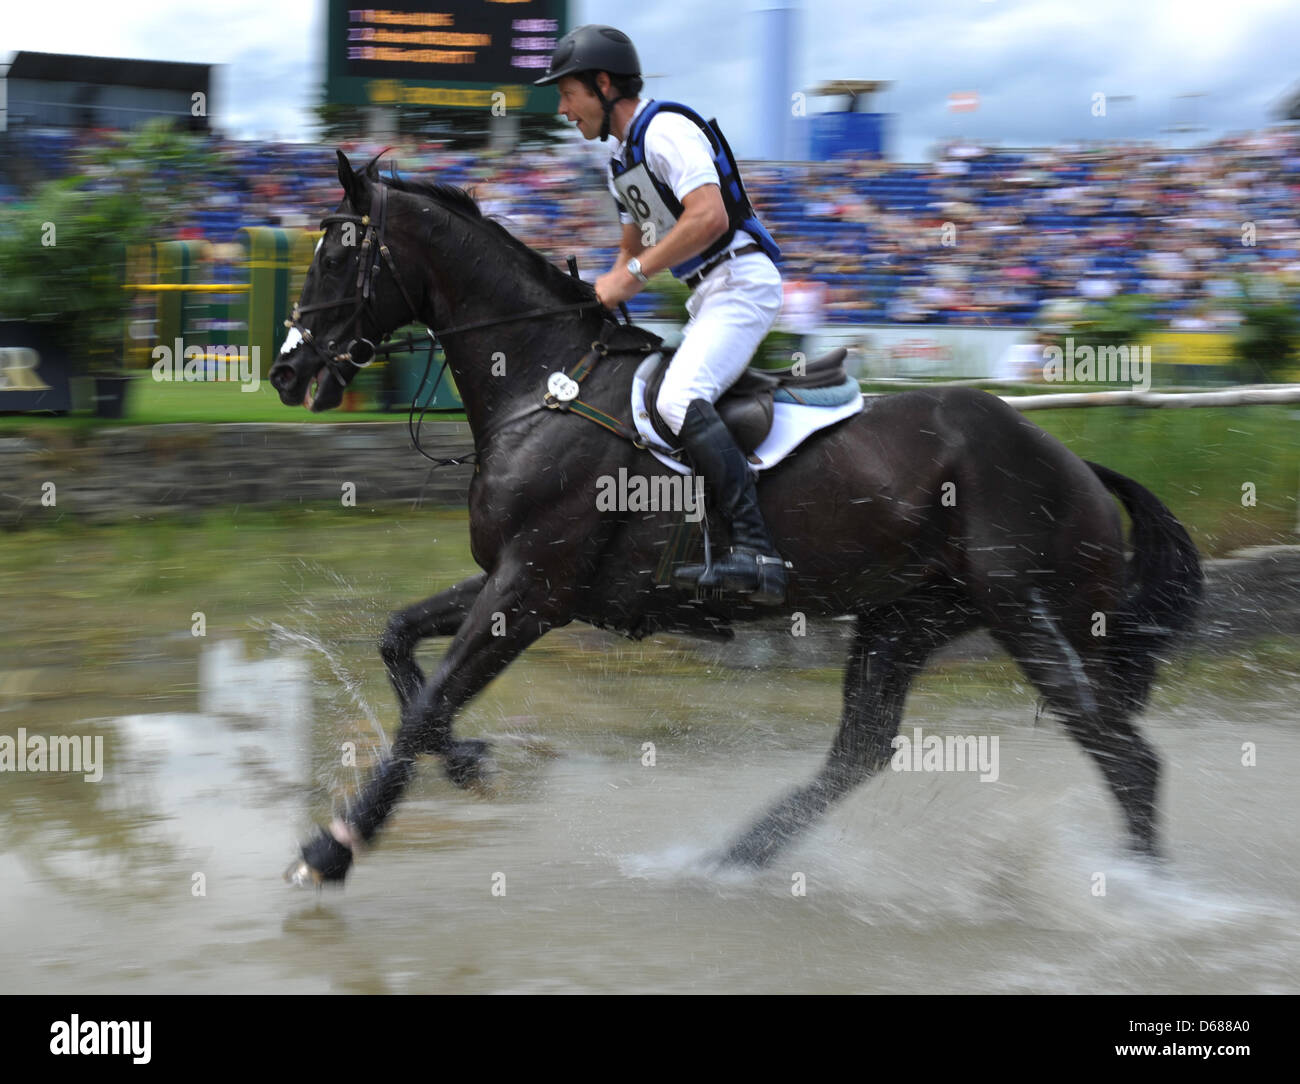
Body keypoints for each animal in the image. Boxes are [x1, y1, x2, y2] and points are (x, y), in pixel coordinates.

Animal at [270, 151, 1202, 885]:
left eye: (338, 256)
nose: (285, 372)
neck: (545, 383)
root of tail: (1075, 463)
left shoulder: (532, 589)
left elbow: (427, 701)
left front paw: (336, 846)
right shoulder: (516, 579)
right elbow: (399, 639)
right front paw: (464, 762)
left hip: (1024, 612)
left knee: (1121, 753)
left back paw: (1147, 893)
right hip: (908, 618)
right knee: (861, 754)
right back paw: (730, 859)